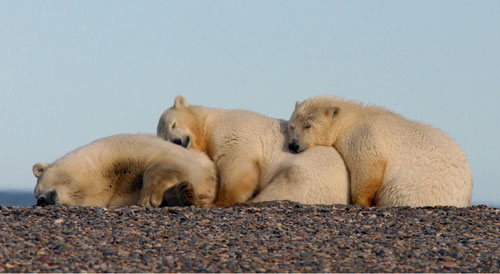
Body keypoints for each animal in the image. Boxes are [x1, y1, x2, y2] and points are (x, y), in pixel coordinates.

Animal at [32, 134, 217, 207]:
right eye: (35, 194)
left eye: (39, 188)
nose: (41, 201)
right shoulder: (120, 197)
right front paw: (183, 194)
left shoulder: (124, 148)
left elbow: (170, 160)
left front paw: (149, 197)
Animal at [158, 96, 350, 206]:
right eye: (165, 138)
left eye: (173, 124)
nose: (177, 141)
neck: (209, 122)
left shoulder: (231, 131)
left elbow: (237, 166)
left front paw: (219, 201)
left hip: (307, 176)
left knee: (283, 189)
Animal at [290, 95, 472, 207]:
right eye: (292, 126)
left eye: (308, 125)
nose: (293, 145)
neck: (353, 120)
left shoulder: (364, 136)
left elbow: (367, 168)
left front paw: (360, 202)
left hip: (410, 188)